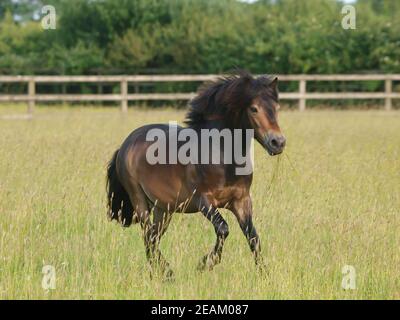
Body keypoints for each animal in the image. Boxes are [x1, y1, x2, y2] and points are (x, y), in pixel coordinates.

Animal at [106, 71, 286, 278]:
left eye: (276, 107)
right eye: (254, 109)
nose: (278, 142)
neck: (221, 155)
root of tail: (125, 145)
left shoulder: (241, 201)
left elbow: (253, 236)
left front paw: (265, 275)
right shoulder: (203, 200)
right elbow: (223, 229)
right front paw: (205, 263)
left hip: (163, 208)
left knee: (153, 237)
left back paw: (160, 272)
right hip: (139, 201)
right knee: (148, 235)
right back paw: (166, 272)